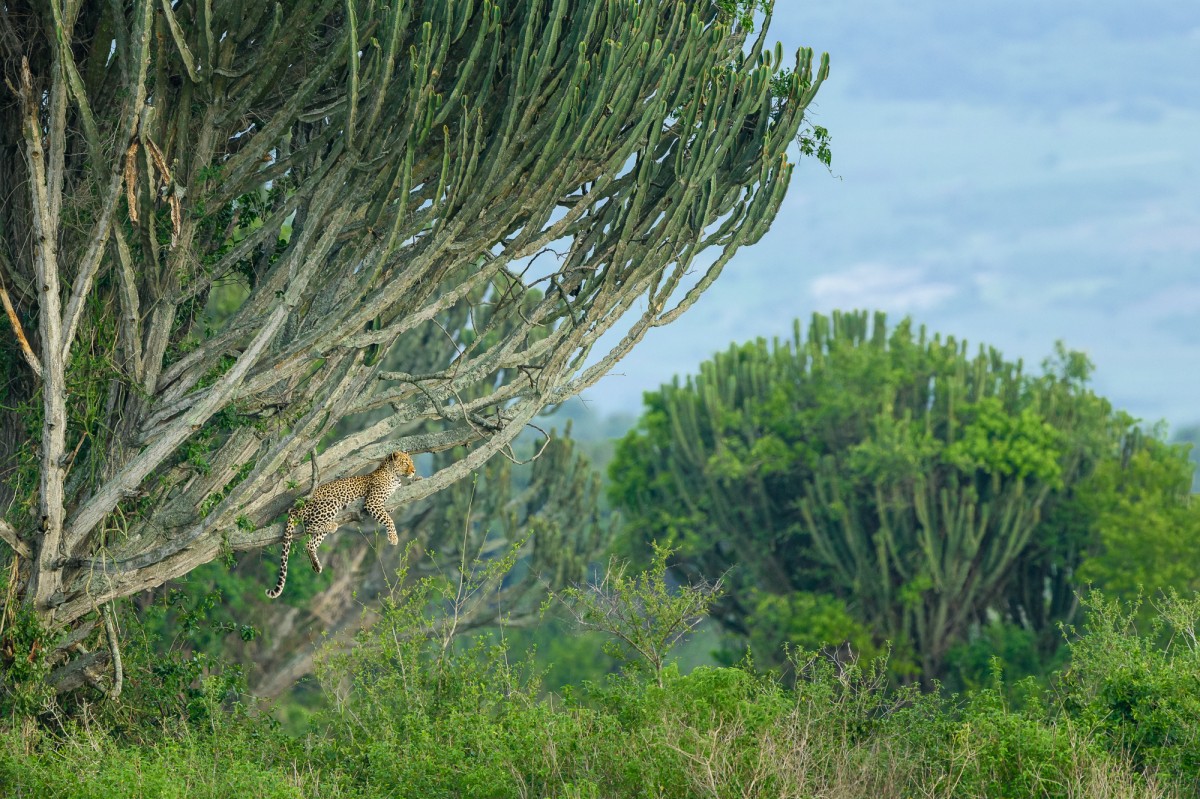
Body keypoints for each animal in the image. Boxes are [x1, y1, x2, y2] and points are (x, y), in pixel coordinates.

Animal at [266, 451, 417, 595]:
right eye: (405, 463)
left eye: (412, 462)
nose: (414, 471)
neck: (393, 475)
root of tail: (297, 506)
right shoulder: (373, 502)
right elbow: (389, 520)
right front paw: (393, 538)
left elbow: (391, 510)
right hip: (331, 503)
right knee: (309, 526)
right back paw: (333, 526)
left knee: (310, 543)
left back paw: (316, 565)